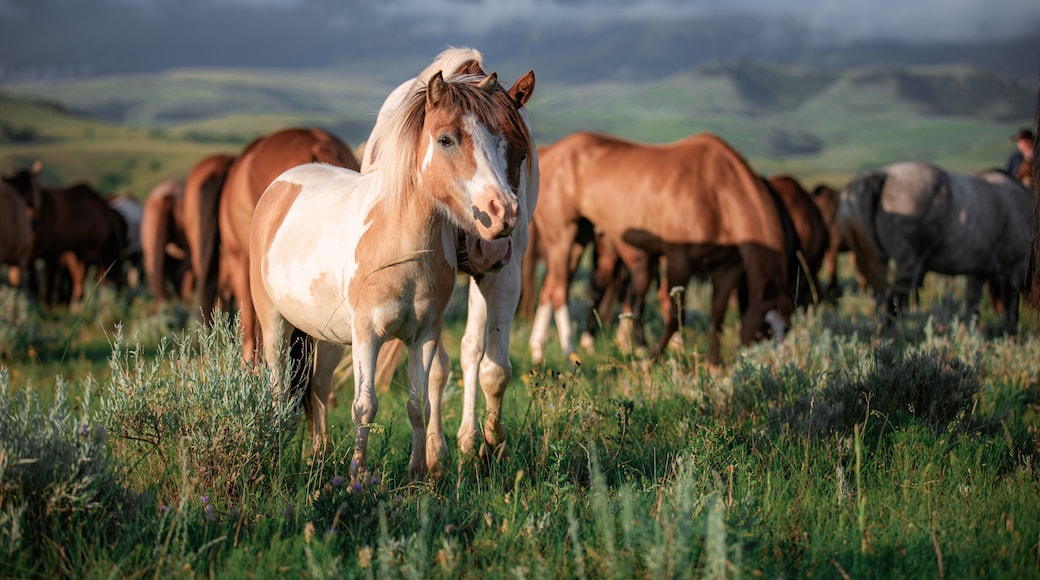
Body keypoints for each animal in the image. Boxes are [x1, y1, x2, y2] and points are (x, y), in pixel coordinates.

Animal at [250, 70, 525, 480]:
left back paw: (319, 456)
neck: (400, 243)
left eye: (498, 140)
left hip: (329, 335)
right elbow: (364, 405)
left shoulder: (423, 336)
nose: (502, 211)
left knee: (318, 386)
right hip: (274, 322)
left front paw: (418, 473)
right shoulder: (367, 333)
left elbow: (418, 404)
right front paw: (357, 477)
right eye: (446, 139)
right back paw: (275, 453)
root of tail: (279, 187)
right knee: (276, 386)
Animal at [361, 47, 538, 460]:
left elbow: (494, 368)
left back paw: (470, 437)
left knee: (471, 350)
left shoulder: (504, 277)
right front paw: (434, 449)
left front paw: (492, 441)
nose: (494, 237)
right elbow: (436, 372)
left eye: (521, 154)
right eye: (445, 141)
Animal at [528, 131, 793, 368]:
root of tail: (550, 153)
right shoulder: (678, 260)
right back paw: (570, 351)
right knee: (559, 290)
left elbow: (716, 317)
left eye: (787, 328)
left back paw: (537, 350)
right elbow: (674, 316)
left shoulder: (728, 269)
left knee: (550, 286)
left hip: (580, 237)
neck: (716, 191)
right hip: (562, 236)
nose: (774, 366)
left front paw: (714, 365)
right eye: (766, 329)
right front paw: (651, 358)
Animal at [837, 161, 1034, 334]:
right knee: (892, 303)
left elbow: (973, 306)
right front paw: (1011, 333)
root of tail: (884, 174)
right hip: (907, 263)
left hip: (880, 260)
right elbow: (1011, 307)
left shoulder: (978, 272)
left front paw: (969, 334)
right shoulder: (1014, 268)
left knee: (878, 299)